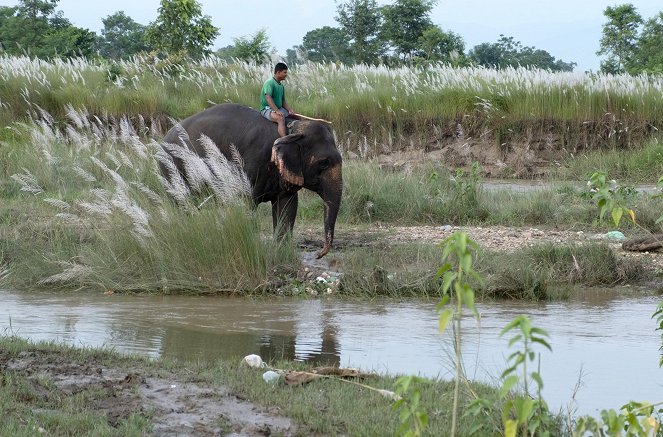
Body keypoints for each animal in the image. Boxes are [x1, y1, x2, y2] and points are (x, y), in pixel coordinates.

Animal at [160, 103, 342, 258]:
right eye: (323, 162)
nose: (318, 254)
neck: (292, 128)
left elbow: (287, 207)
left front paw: (279, 253)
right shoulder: (251, 164)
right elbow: (246, 203)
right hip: (172, 170)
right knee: (181, 204)